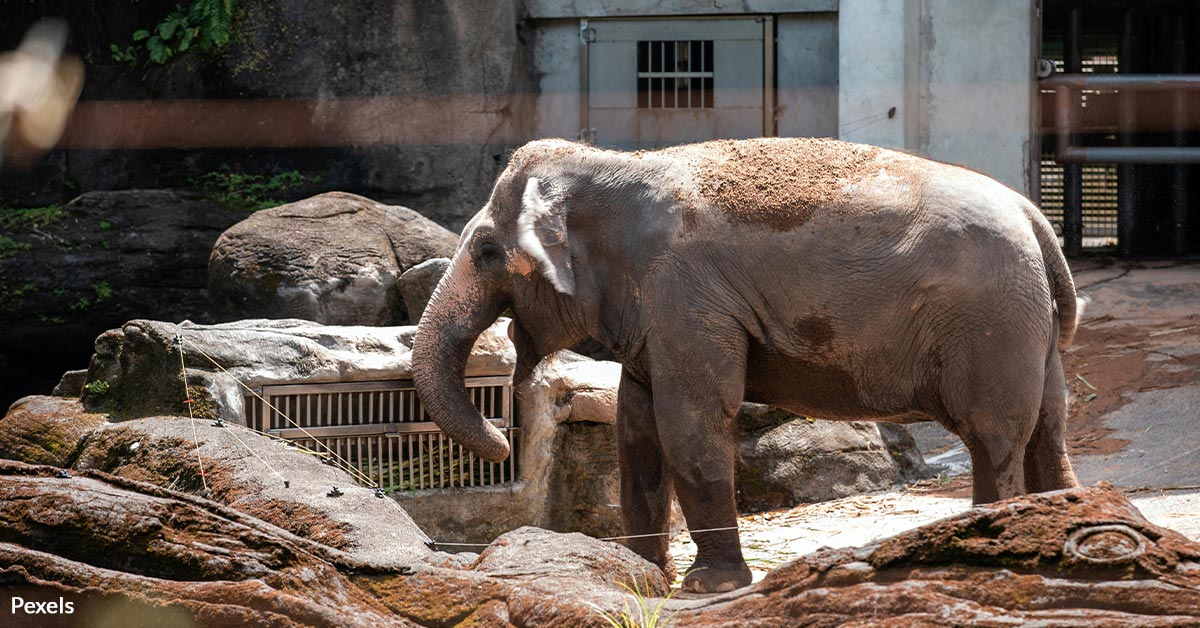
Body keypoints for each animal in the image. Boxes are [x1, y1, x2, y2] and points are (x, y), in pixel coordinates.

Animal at [412, 137, 1080, 594]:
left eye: (487, 251)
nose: (502, 437)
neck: (610, 164)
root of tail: (1036, 219)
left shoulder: (687, 295)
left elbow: (691, 420)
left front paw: (707, 587)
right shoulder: (659, 314)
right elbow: (636, 429)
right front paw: (639, 575)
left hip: (992, 324)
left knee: (994, 433)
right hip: (1029, 325)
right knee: (1047, 426)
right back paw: (1058, 525)